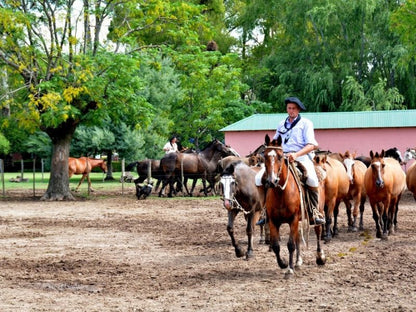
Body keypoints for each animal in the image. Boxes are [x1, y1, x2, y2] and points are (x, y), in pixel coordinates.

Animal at [262, 135, 326, 276]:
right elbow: (276, 245)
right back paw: (298, 261)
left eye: (280, 156)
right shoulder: (273, 221)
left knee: (318, 232)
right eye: (264, 156)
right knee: (297, 238)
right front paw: (283, 263)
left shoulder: (293, 219)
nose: (271, 181)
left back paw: (320, 257)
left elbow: (290, 244)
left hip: (317, 213)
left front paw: (289, 269)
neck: (281, 193)